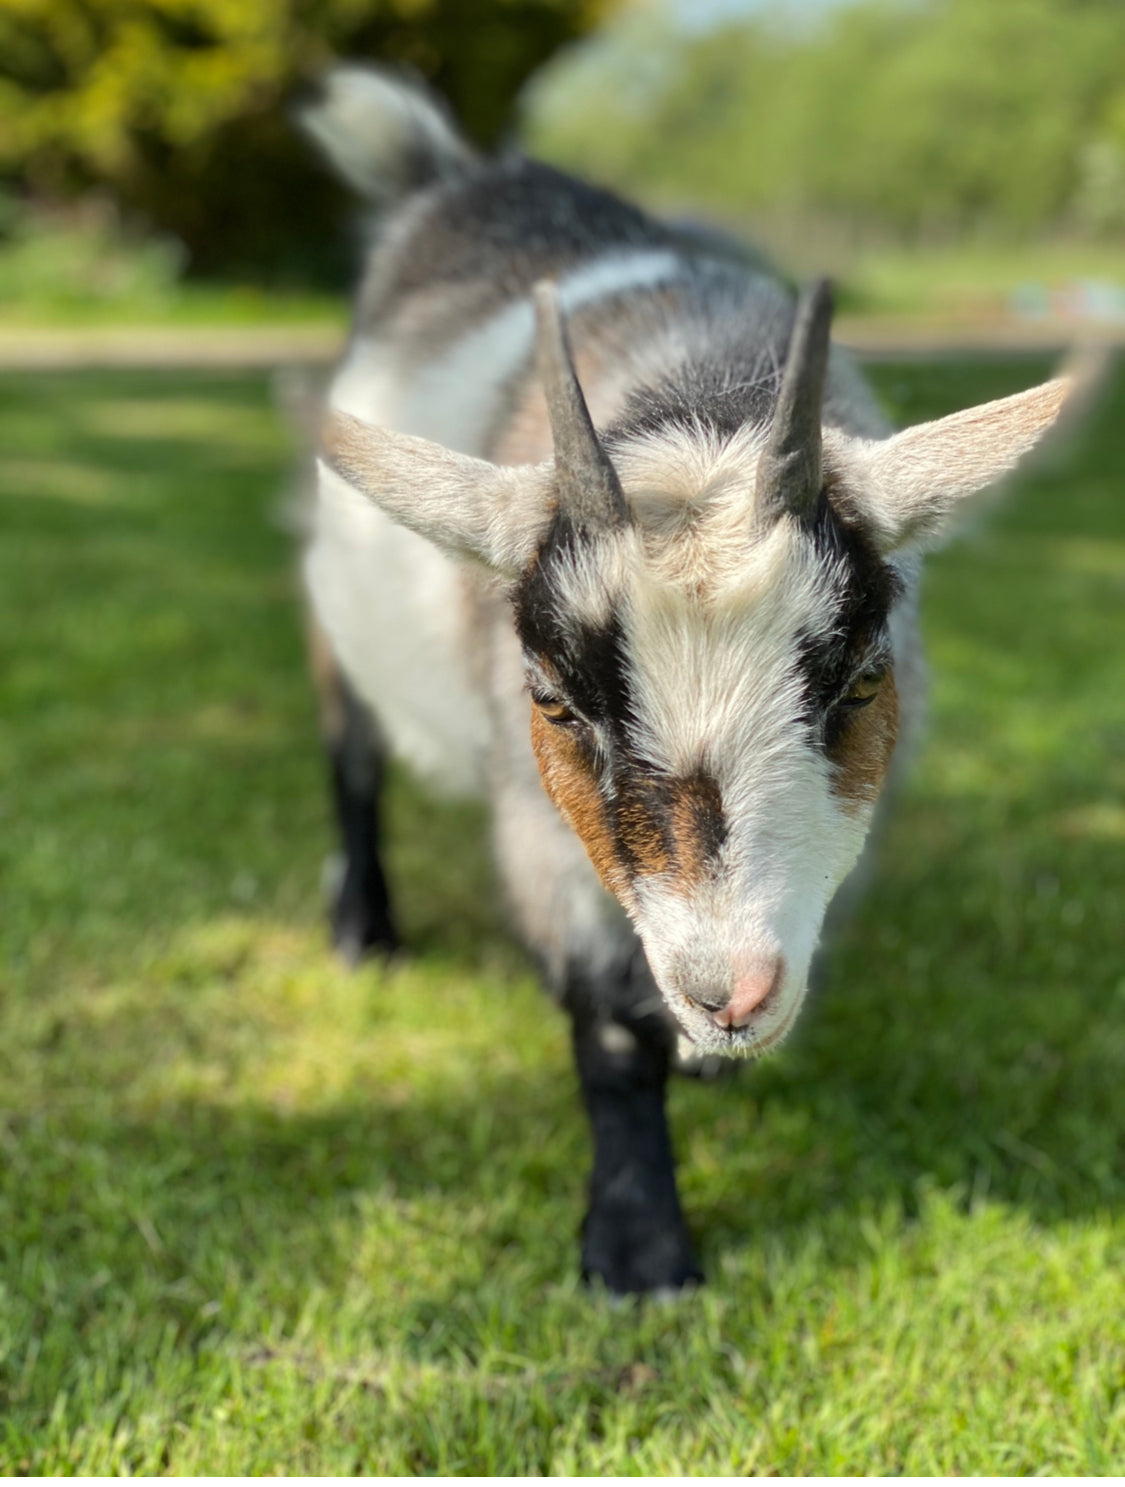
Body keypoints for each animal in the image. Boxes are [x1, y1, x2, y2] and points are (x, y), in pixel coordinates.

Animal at [298, 66, 1081, 1295]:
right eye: (554, 697)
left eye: (861, 677)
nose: (729, 991)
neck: (698, 400)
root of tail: (454, 183)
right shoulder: (536, 813)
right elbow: (610, 1024)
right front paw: (638, 1247)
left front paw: (705, 1063)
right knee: (353, 759)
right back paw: (363, 930)